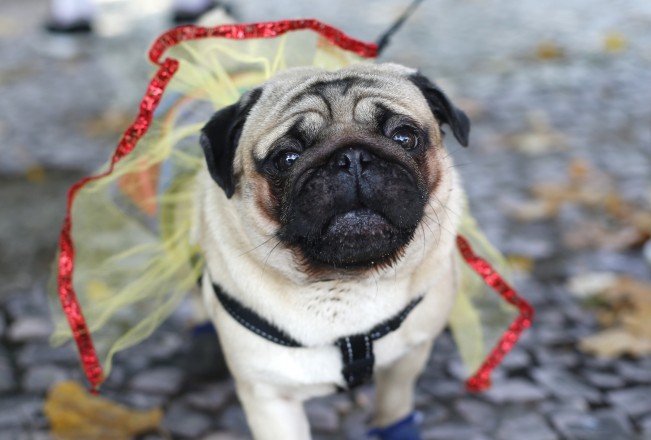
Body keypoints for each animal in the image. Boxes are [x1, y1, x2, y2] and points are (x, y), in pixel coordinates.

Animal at [196, 62, 472, 440]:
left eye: (404, 137)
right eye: (287, 158)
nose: (351, 157)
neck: (345, 284)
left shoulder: (405, 364)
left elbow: (394, 408)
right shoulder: (269, 397)